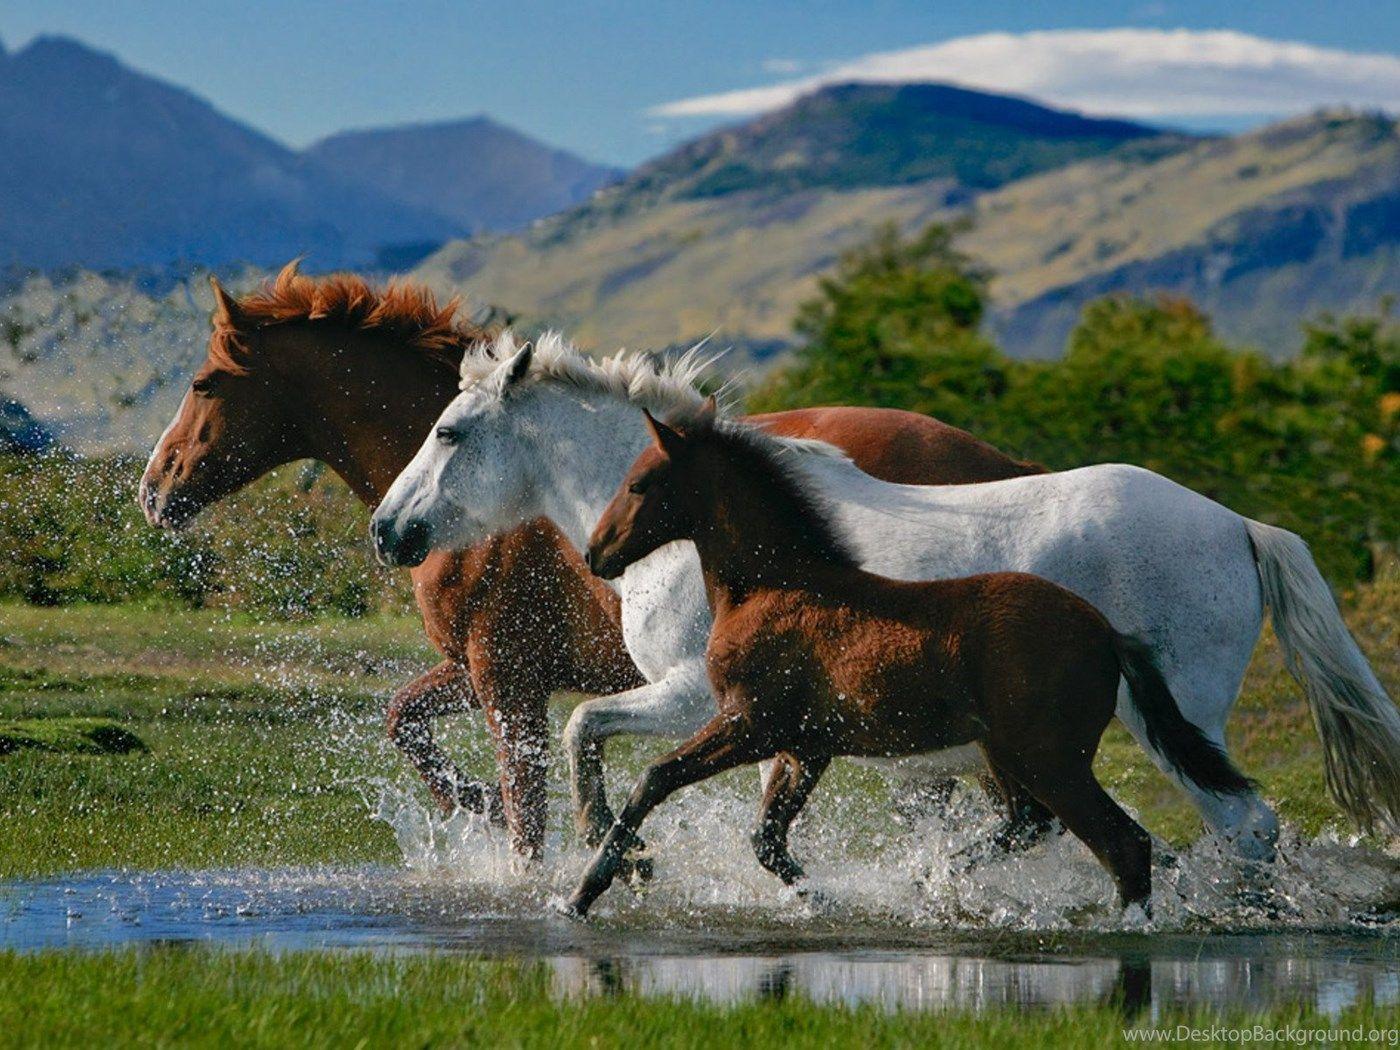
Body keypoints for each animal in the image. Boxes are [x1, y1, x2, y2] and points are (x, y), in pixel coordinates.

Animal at [138, 262, 1042, 860]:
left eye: (205, 381)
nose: (152, 490)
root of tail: (1003, 464)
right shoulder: (484, 670)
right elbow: (407, 721)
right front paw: (479, 805)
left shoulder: (506, 678)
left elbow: (528, 808)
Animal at [370, 332, 1400, 865]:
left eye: (451, 432)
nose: (389, 530)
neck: (714, 534)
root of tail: (1238, 525)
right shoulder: (777, 720)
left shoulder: (697, 697)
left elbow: (586, 726)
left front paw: (614, 847)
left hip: (1173, 720)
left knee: (1242, 824)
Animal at [563, 406, 1257, 917]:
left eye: (639, 483)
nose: (597, 553)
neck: (778, 585)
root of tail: (1107, 633)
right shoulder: (806, 746)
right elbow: (767, 840)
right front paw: (823, 898)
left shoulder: (748, 723)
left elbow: (653, 780)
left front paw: (585, 891)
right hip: (1010, 757)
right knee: (1038, 825)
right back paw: (941, 878)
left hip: (1050, 759)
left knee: (1126, 842)